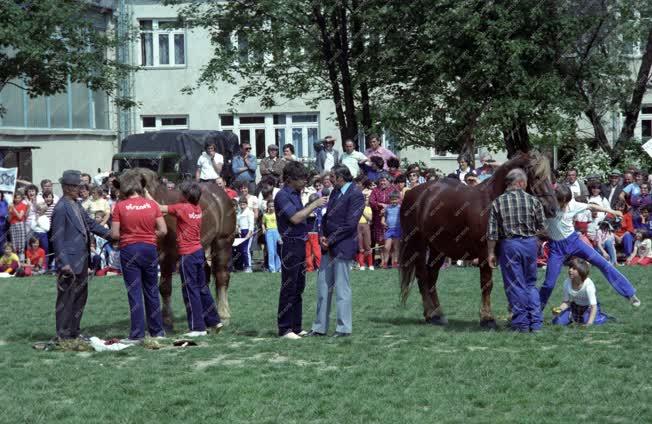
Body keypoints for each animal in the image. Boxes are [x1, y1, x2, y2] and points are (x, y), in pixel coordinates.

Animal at [114, 169, 237, 328]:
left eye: (138, 193)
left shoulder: (167, 256)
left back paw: (223, 315)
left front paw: (167, 320)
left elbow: (165, 287)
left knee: (222, 276)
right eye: (121, 195)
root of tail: (221, 195)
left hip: (222, 243)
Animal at [400, 152, 556, 328]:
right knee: (422, 276)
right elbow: (487, 284)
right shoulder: (485, 253)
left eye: (551, 177)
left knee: (431, 277)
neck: (491, 201)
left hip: (437, 248)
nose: (553, 209)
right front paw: (487, 319)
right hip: (418, 245)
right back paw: (430, 314)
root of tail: (414, 193)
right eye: (537, 176)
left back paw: (437, 315)